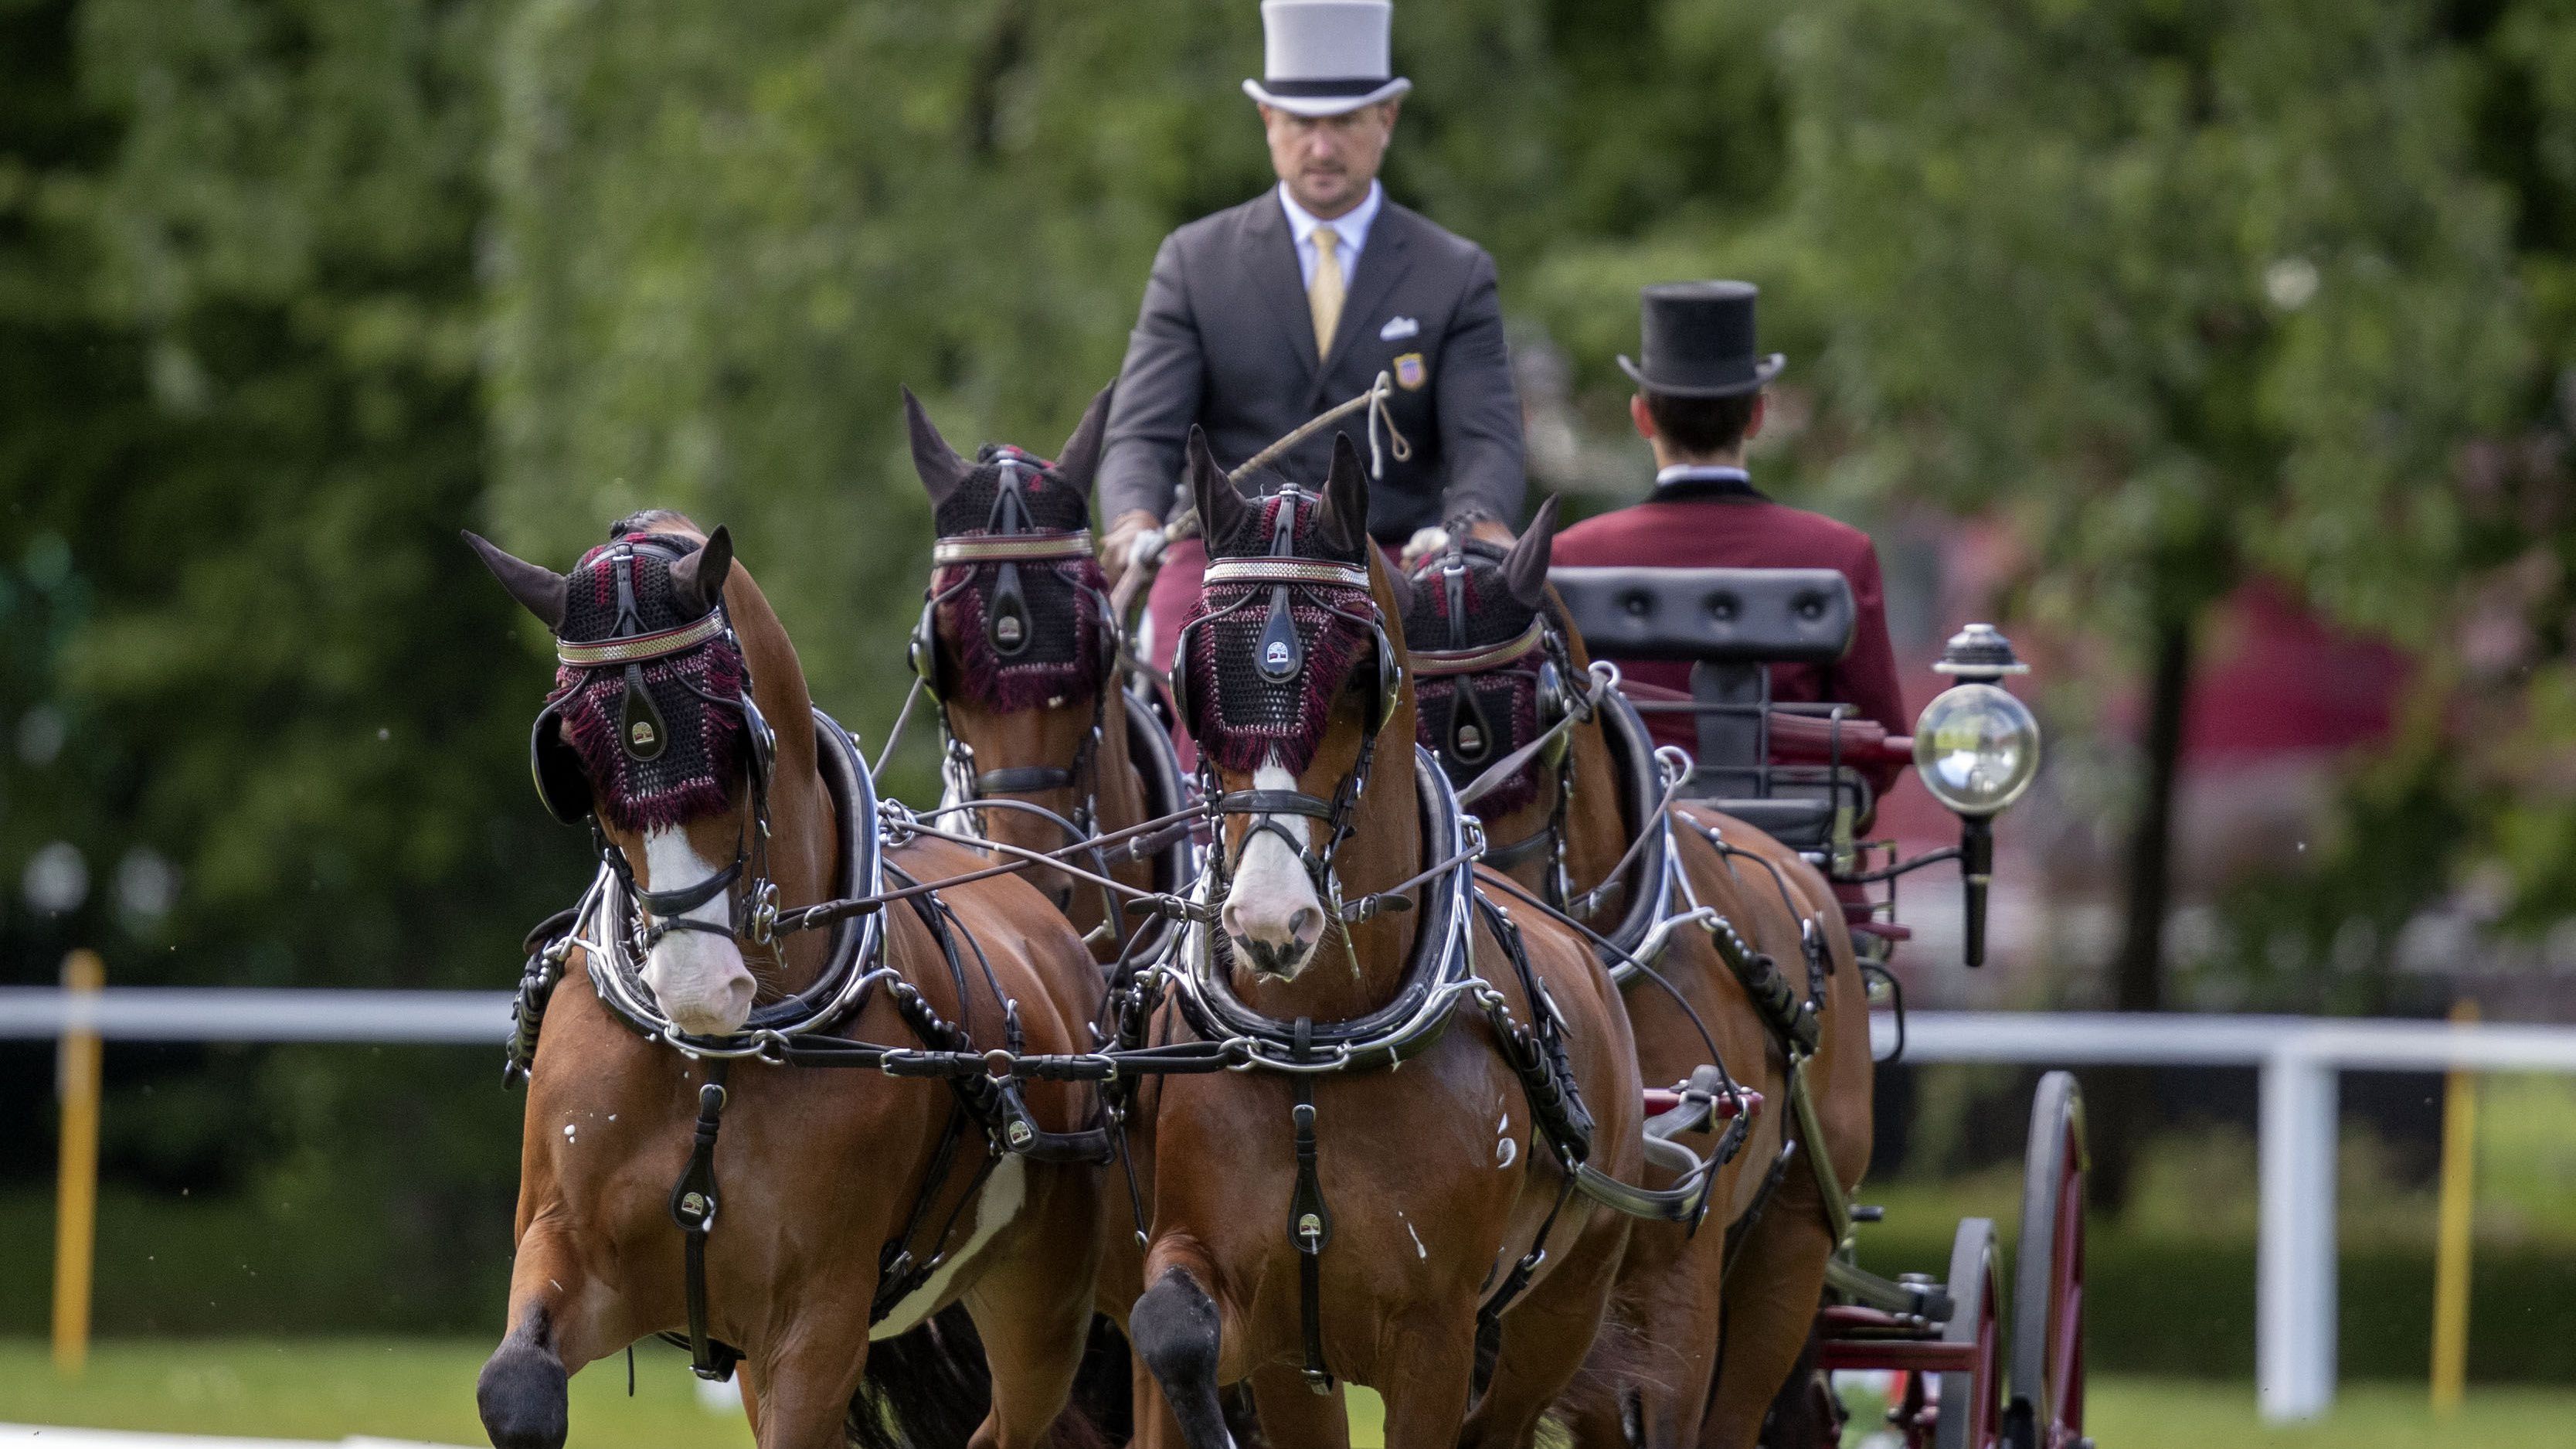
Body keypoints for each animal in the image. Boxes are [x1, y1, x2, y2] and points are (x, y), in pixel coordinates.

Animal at [471, 512, 1107, 1444]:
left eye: (731, 745)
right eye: (578, 761)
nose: (697, 989)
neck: (716, 1062)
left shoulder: (818, 1324)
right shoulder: (570, 1250)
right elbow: (516, 1390)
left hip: (1045, 1304)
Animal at [1128, 427, 1648, 1444]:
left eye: (1357, 680)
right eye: (1191, 683)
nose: (1270, 921)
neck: (1314, 1044)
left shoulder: (1435, 1332)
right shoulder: (1247, 1299)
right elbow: (1169, 1331)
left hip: (1568, 1301)